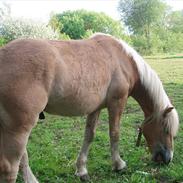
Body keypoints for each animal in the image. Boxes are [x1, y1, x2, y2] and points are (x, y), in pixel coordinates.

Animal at [0, 33, 179, 182]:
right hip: (20, 127)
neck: (123, 60)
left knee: (22, 158)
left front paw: (81, 170)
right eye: (166, 129)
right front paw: (118, 164)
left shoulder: (95, 108)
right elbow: (114, 133)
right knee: (10, 166)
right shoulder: (117, 103)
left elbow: (89, 136)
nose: (168, 158)